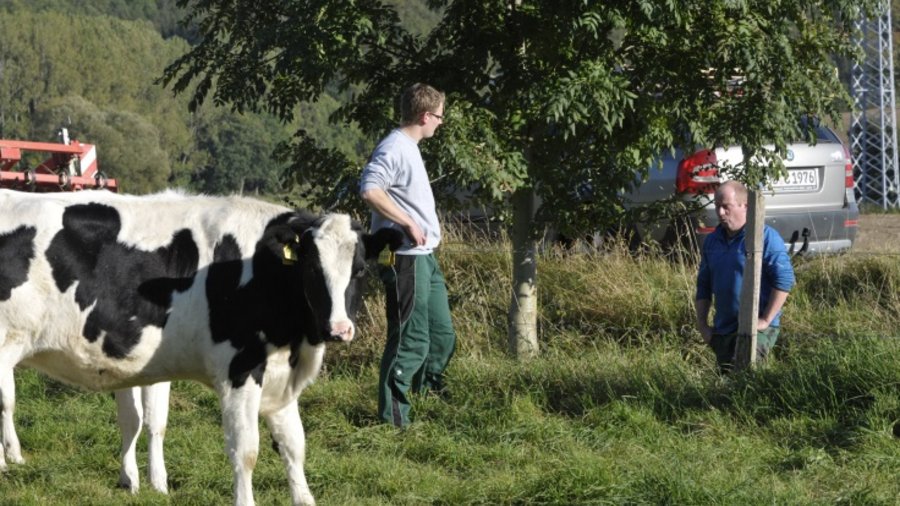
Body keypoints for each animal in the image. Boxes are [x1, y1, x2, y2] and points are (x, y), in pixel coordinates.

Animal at [0, 188, 402, 504]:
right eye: (312, 270)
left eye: (360, 270)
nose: (339, 329)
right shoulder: (239, 369)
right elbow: (246, 450)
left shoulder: (278, 375)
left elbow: (294, 445)